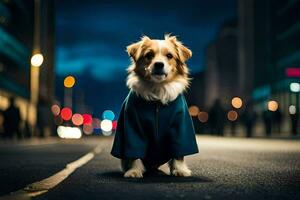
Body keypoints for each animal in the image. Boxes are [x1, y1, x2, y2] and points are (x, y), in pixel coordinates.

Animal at [110, 34, 199, 178]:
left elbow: (179, 151)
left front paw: (179, 170)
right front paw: (134, 171)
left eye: (169, 55)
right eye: (149, 55)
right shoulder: (132, 127)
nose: (158, 64)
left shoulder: (180, 127)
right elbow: (134, 152)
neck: (158, 89)